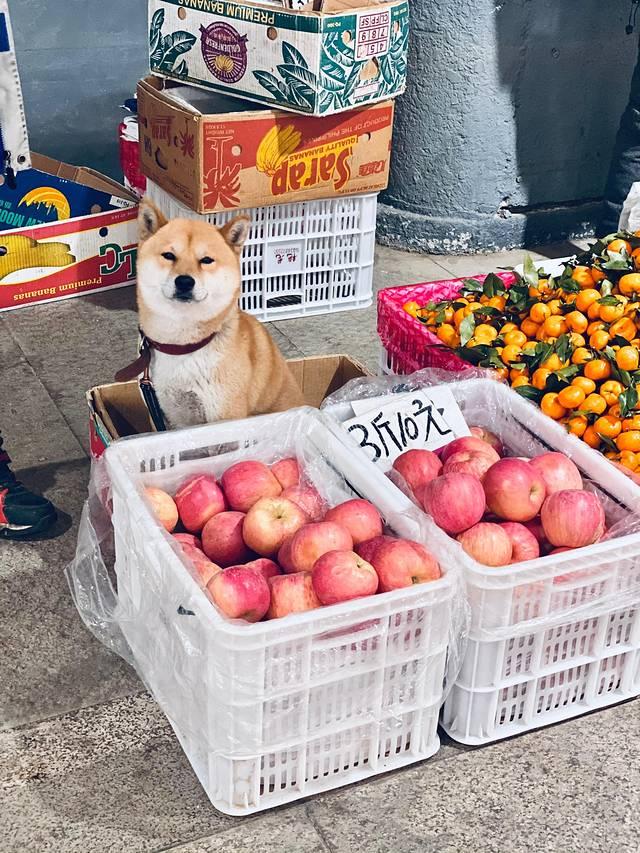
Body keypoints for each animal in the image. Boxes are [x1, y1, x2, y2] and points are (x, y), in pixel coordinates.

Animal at [129, 198, 304, 426]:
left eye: (206, 260)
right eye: (168, 256)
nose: (184, 281)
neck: (181, 347)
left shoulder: (224, 413)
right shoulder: (162, 410)